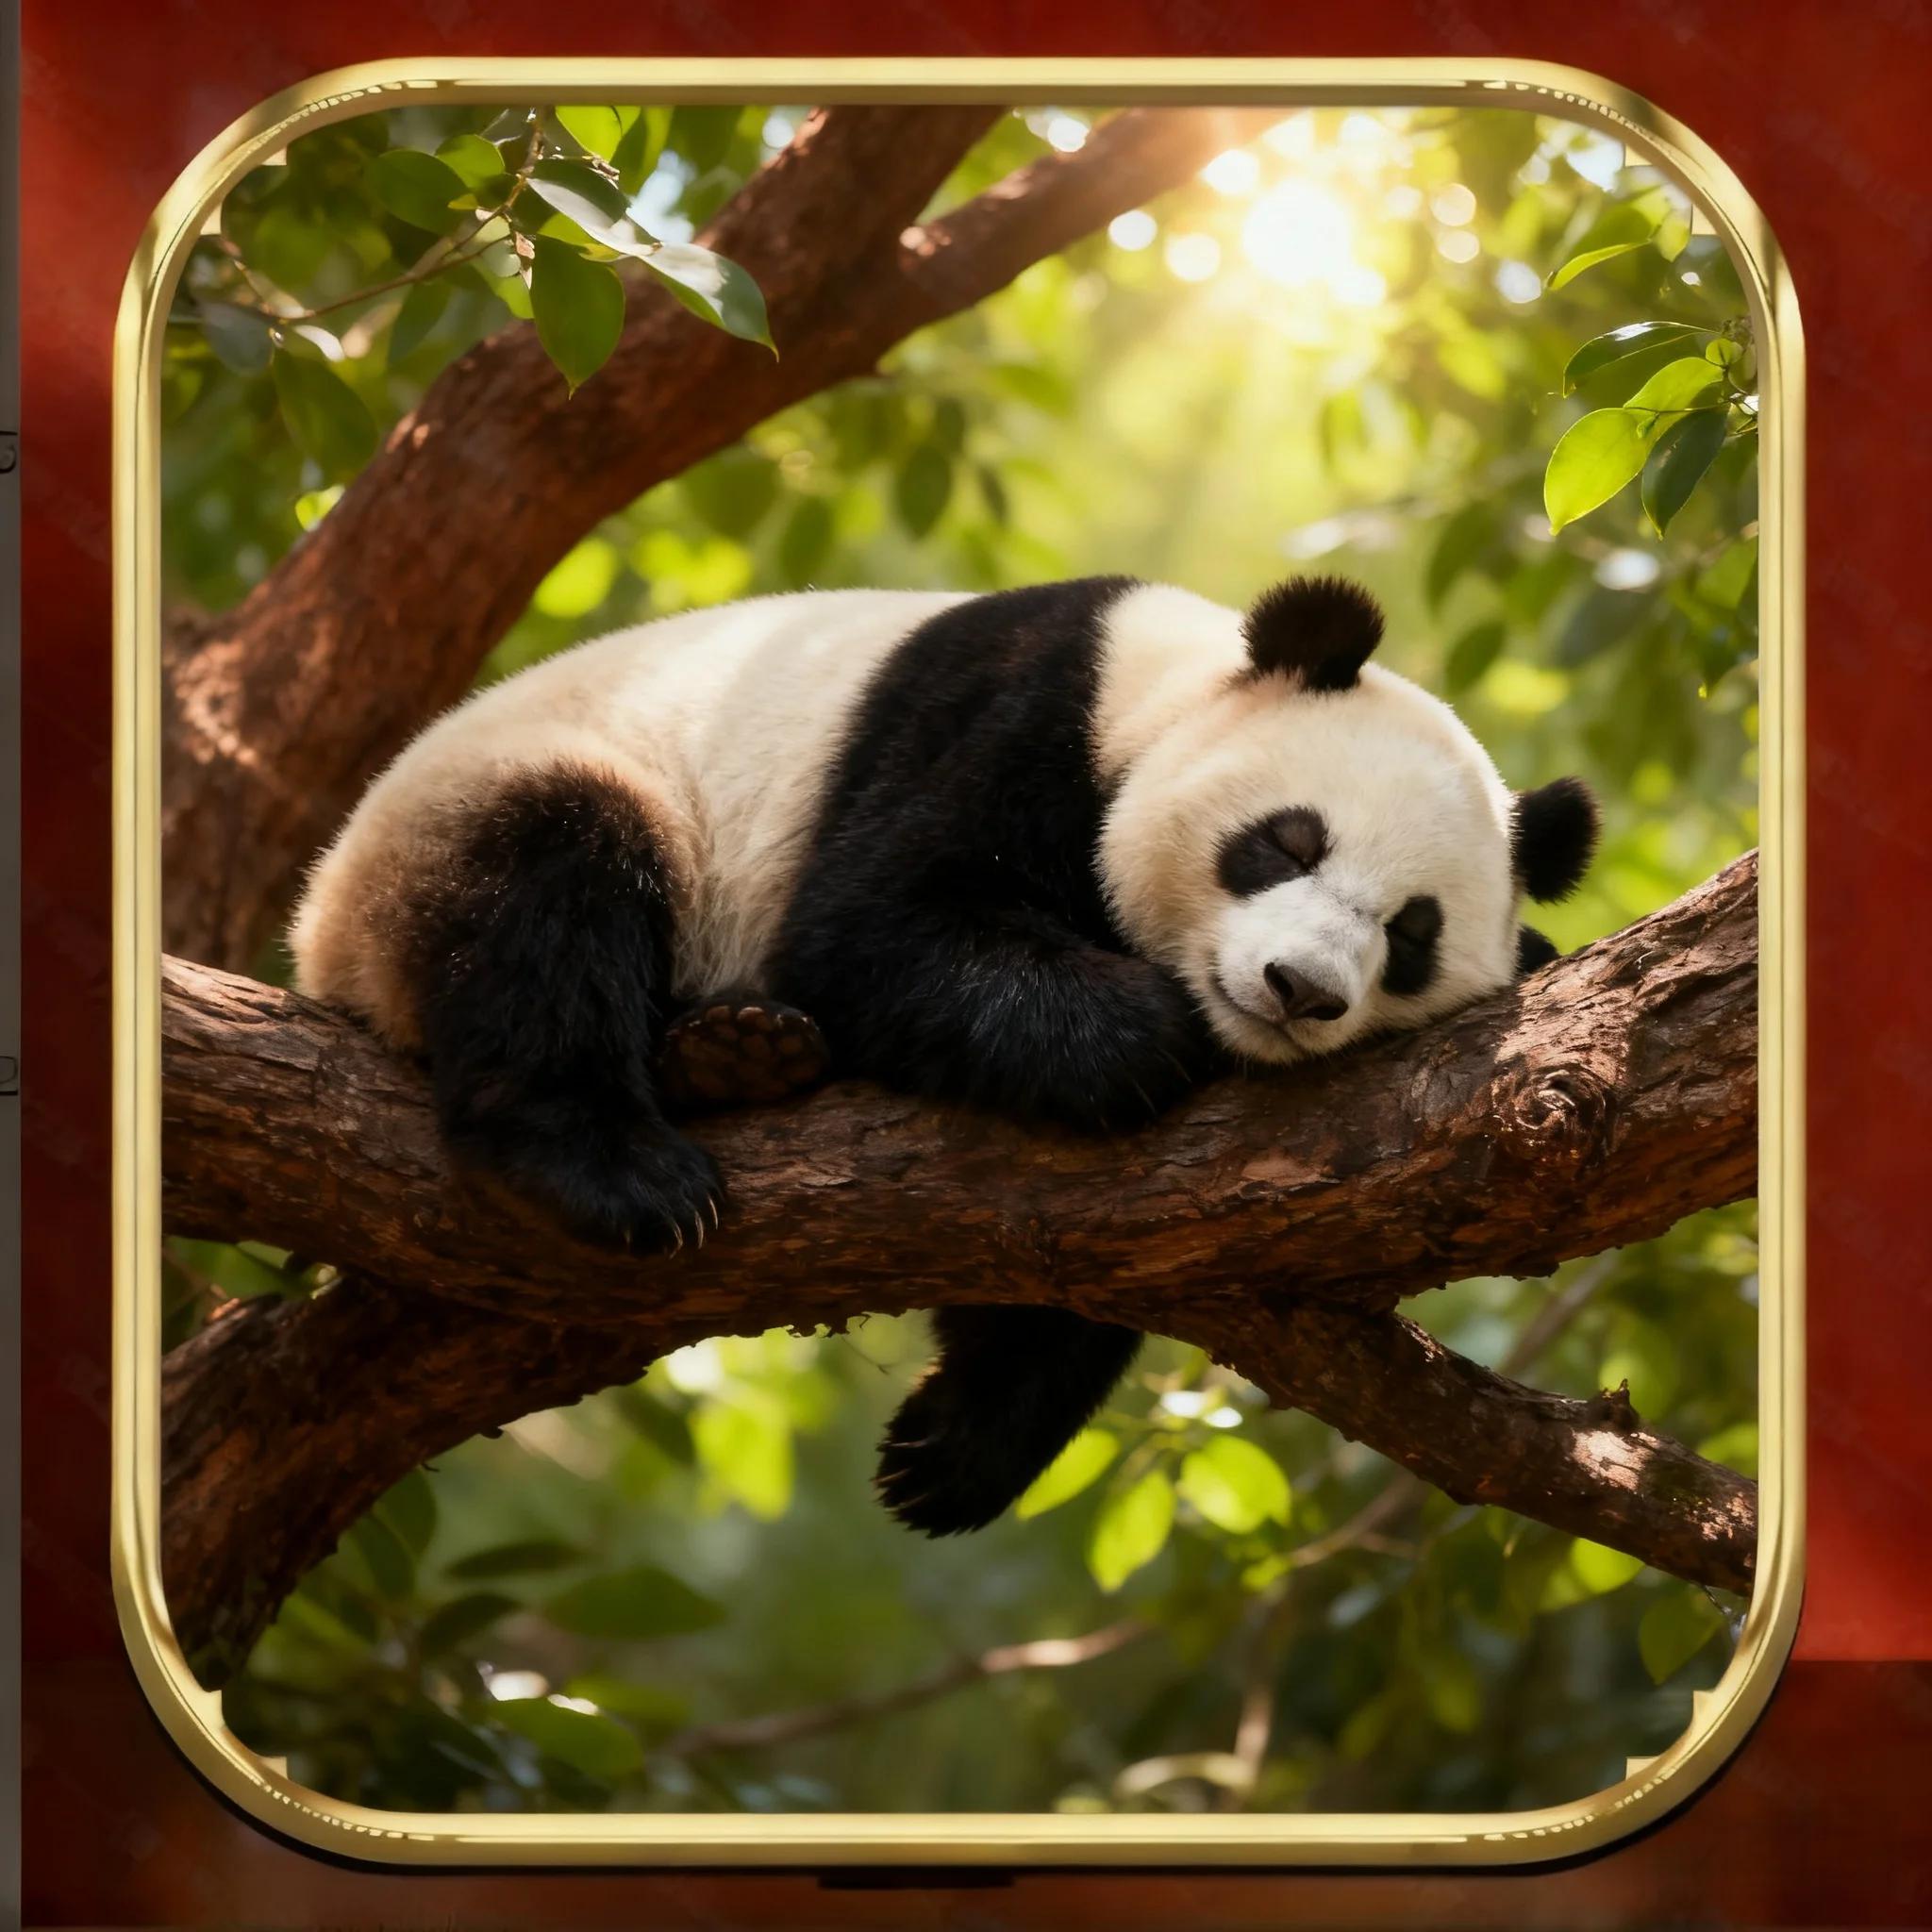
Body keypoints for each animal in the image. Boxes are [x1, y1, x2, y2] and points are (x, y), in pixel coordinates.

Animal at [290, 574, 1598, 1538]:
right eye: (1285, 843)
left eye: (1411, 935)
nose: (1300, 990)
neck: (1161, 689)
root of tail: (321, 938)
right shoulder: (1010, 714)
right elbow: (874, 928)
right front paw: (1145, 1028)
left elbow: (1085, 1284)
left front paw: (949, 1450)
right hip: (497, 813)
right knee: (550, 890)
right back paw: (620, 1164)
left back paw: (734, 1057)